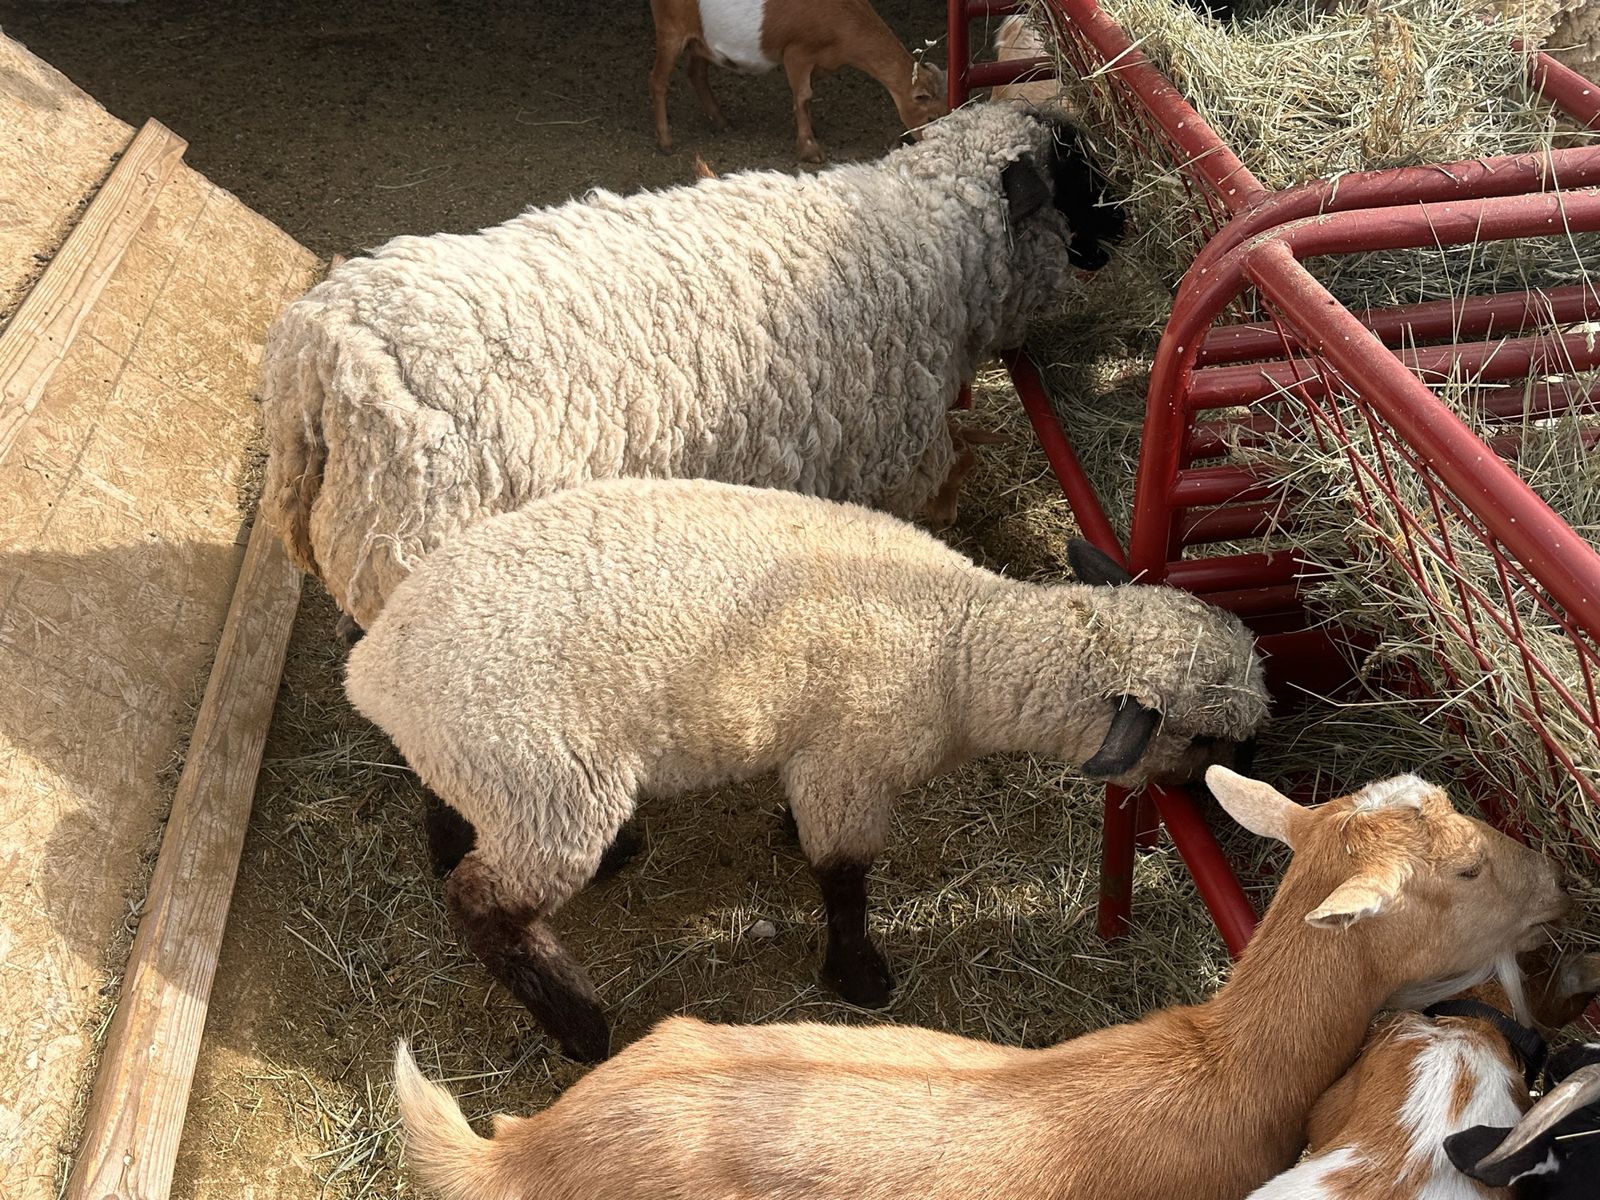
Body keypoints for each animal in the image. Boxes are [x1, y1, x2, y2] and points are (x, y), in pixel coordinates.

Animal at [344, 478, 1268, 1062]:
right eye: (1202, 739)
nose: (1252, 780)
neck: (958, 647)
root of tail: (375, 671)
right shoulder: (848, 764)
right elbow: (845, 880)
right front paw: (860, 979)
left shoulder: (819, 759)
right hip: (547, 781)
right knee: (483, 905)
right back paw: (581, 1028)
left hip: (486, 765)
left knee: (444, 809)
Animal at [647, 0, 947, 162]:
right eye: (931, 116)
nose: (932, 146)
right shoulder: (796, 52)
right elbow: (803, 96)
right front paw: (810, 149)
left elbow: (805, 97)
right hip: (671, 29)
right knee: (658, 80)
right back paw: (666, 141)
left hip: (702, 41)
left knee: (696, 72)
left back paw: (721, 121)